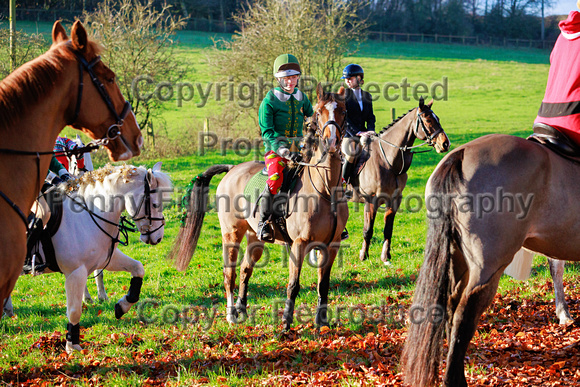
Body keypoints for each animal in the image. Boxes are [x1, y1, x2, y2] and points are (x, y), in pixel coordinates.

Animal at [3, 164, 170, 354]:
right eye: (155, 204)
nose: (158, 237)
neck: (89, 215)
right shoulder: (75, 273)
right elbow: (75, 310)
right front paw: (72, 346)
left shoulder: (107, 259)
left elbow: (138, 269)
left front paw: (122, 306)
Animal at [170, 84, 346, 330]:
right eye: (319, 113)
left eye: (343, 111)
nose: (331, 143)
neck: (326, 190)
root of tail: (233, 168)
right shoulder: (299, 244)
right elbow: (294, 285)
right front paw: (285, 324)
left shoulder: (332, 245)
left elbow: (323, 285)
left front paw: (322, 323)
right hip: (232, 234)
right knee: (230, 274)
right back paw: (231, 315)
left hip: (255, 236)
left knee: (245, 269)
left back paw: (242, 309)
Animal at [348, 99, 448, 264]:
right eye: (428, 120)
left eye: (438, 118)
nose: (445, 144)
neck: (386, 160)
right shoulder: (371, 200)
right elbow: (368, 230)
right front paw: (364, 256)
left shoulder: (394, 199)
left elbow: (388, 229)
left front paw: (385, 257)